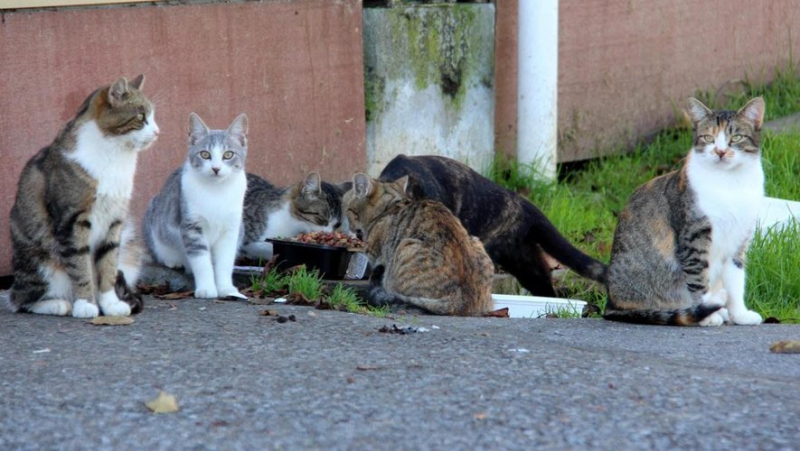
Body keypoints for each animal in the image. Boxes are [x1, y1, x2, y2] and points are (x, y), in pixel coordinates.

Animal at [8, 75, 159, 318]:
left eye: (153, 117)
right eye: (141, 117)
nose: (157, 132)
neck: (115, 156)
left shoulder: (114, 220)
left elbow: (108, 265)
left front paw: (110, 304)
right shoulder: (72, 220)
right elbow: (80, 265)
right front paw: (85, 304)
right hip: (41, 262)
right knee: (20, 300)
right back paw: (59, 304)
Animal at [141, 112, 247, 300]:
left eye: (228, 154)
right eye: (205, 154)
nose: (216, 168)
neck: (216, 191)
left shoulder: (231, 228)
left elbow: (225, 261)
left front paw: (226, 288)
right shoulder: (191, 226)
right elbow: (201, 260)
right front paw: (206, 288)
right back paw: (173, 261)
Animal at [344, 174, 494, 318]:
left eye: (349, 211)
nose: (350, 227)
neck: (391, 206)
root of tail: (461, 300)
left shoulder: (375, 253)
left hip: (405, 247)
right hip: (476, 241)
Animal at [608, 97, 768, 326]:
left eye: (736, 137)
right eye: (709, 138)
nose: (720, 152)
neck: (730, 183)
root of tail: (610, 304)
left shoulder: (739, 240)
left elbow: (736, 281)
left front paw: (740, 314)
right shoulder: (694, 236)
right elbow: (699, 278)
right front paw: (708, 314)